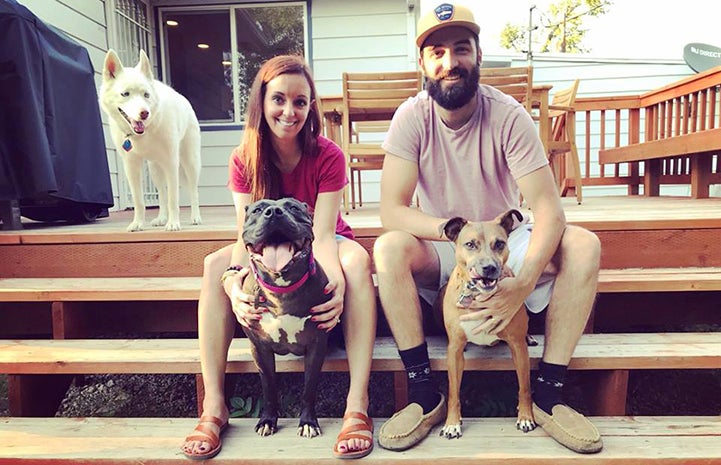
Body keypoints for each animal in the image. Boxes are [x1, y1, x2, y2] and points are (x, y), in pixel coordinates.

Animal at [100, 49, 201, 230]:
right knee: (161, 193)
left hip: (190, 162)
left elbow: (173, 198)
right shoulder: (131, 166)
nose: (144, 113)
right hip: (155, 169)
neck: (144, 132)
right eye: (125, 94)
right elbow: (140, 201)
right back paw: (161, 218)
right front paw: (138, 223)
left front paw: (173, 223)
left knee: (193, 190)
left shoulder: (171, 162)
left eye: (146, 95)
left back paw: (195, 217)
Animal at [434, 210, 536, 438]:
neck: (478, 294)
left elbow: (524, 386)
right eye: (470, 244)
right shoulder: (455, 351)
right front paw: (452, 423)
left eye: (499, 243)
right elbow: (454, 392)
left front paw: (525, 416)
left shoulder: (517, 347)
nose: (489, 268)